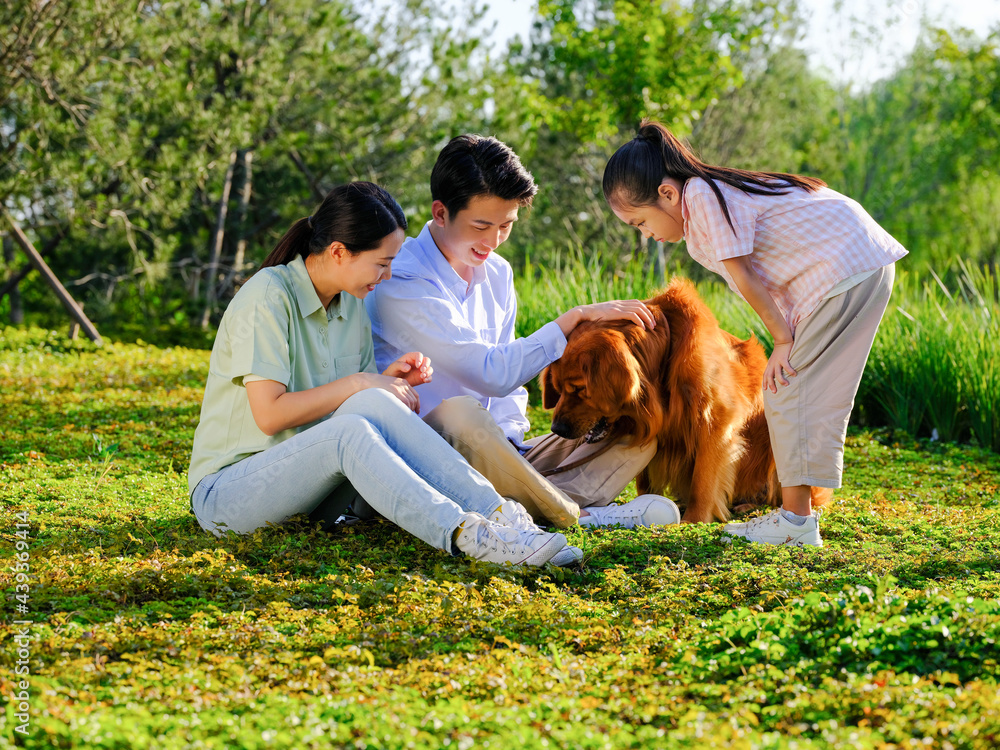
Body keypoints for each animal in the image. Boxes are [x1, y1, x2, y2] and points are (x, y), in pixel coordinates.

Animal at [544, 278, 832, 524]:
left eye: (579, 389)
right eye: (558, 388)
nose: (557, 429)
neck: (661, 369)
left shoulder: (716, 421)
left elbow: (703, 480)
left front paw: (695, 519)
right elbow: (644, 481)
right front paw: (643, 502)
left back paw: (751, 504)